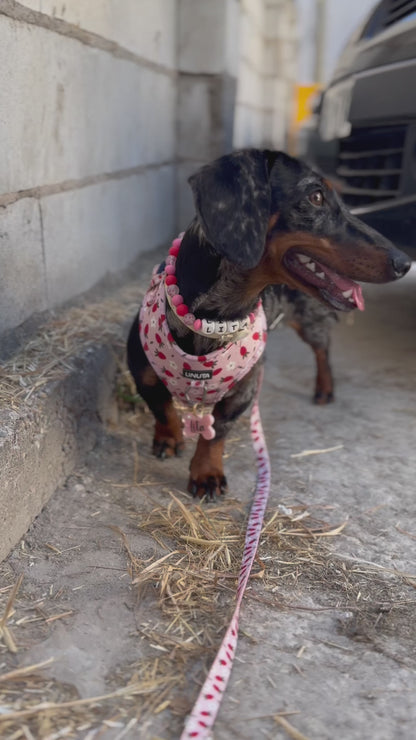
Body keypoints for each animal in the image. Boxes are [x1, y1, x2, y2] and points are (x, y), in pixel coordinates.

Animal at [126, 149, 410, 498]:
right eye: (316, 196)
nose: (404, 263)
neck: (215, 317)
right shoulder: (142, 372)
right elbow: (161, 406)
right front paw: (168, 439)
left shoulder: (243, 391)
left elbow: (217, 433)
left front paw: (207, 473)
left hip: (309, 321)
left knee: (323, 351)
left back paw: (325, 388)